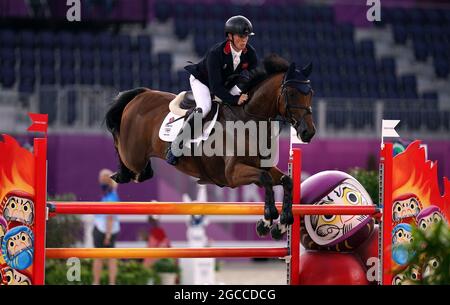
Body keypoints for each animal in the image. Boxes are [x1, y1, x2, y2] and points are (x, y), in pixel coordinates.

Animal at [105, 55, 316, 240]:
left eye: (311, 94)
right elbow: (266, 179)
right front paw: (267, 219)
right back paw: (121, 174)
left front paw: (280, 224)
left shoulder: (261, 167)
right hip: (133, 155)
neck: (249, 120)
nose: (308, 133)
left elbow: (286, 180)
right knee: (120, 146)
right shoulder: (233, 174)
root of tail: (142, 94)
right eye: (291, 93)